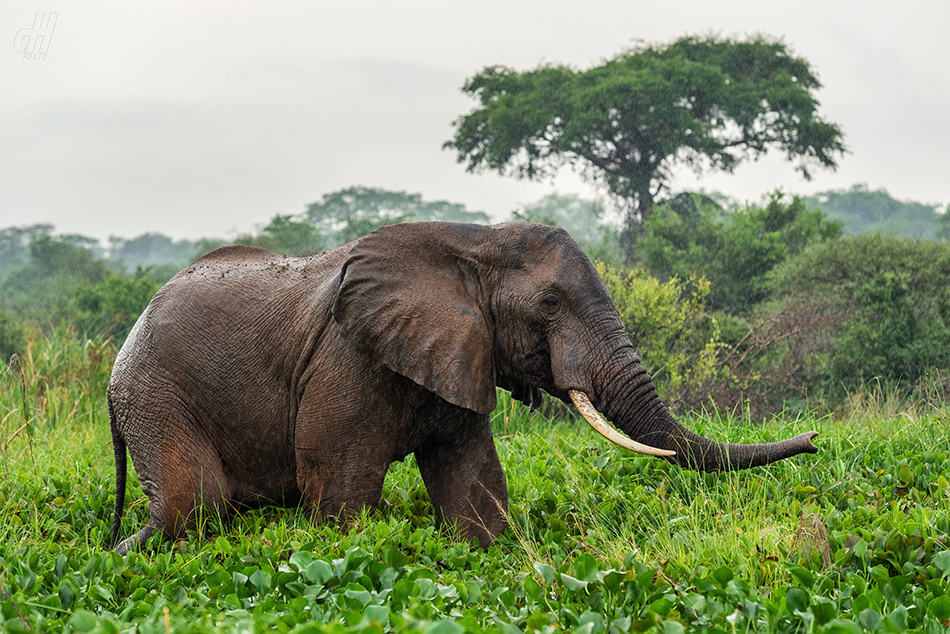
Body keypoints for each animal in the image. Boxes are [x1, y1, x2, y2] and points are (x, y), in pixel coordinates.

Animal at [108, 222, 816, 552]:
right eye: (550, 306)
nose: (813, 440)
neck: (476, 243)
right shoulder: (346, 360)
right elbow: (340, 495)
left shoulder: (459, 353)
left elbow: (473, 485)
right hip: (154, 391)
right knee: (196, 505)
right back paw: (122, 553)